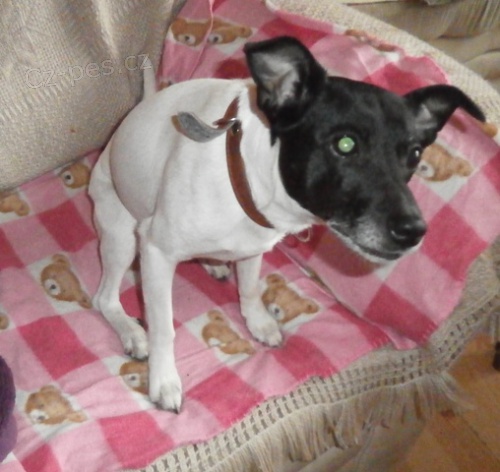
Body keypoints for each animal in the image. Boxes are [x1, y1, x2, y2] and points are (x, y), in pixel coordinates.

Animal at [89, 36, 484, 412]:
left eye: (415, 154)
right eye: (345, 144)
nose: (413, 231)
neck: (249, 174)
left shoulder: (253, 246)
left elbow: (249, 288)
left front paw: (258, 321)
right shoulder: (156, 251)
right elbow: (164, 327)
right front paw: (164, 380)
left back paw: (212, 263)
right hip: (122, 236)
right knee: (104, 298)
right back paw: (131, 330)